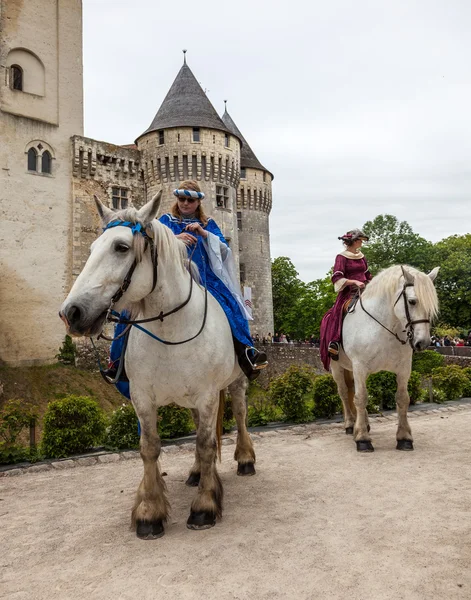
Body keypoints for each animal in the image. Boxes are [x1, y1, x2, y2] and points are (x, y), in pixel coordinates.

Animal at [61, 196, 258, 540]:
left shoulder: (207, 394)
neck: (169, 330)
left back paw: (245, 459)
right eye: (92, 247)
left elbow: (207, 444)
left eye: (122, 247)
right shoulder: (142, 397)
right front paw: (149, 512)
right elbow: (149, 448)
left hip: (234, 382)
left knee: (240, 413)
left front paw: (204, 507)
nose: (71, 312)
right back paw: (196, 473)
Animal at [332, 264, 438, 452]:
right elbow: (361, 398)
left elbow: (402, 398)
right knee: (344, 393)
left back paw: (363, 424)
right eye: (412, 301)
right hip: (336, 367)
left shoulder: (404, 368)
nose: (423, 342)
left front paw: (404, 437)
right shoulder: (359, 367)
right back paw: (351, 424)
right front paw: (362, 439)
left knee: (351, 391)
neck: (384, 326)